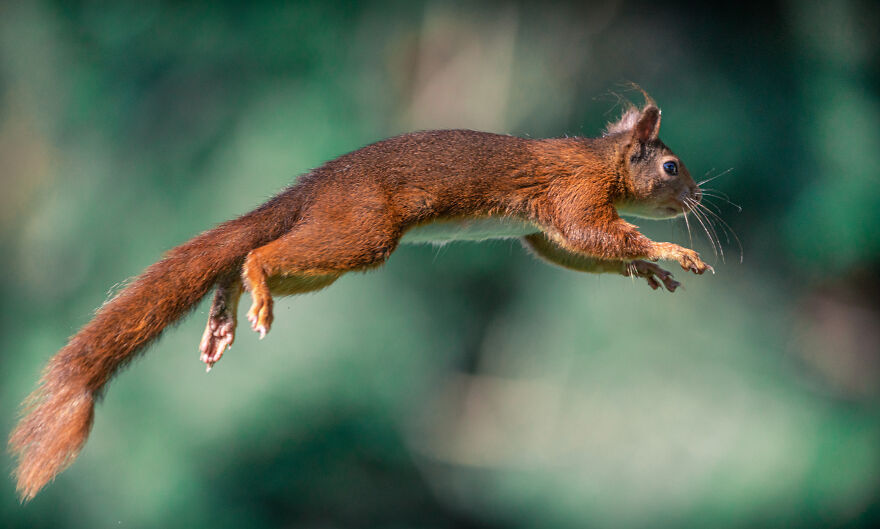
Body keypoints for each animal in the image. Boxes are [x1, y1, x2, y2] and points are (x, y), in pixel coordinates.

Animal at [9, 95, 711, 500]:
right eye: (671, 167)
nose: (697, 198)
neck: (604, 161)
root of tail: (311, 190)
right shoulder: (574, 194)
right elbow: (596, 234)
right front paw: (670, 253)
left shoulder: (544, 227)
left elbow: (569, 250)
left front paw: (647, 269)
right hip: (361, 232)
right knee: (261, 254)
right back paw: (254, 287)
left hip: (340, 243)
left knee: (245, 261)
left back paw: (225, 313)